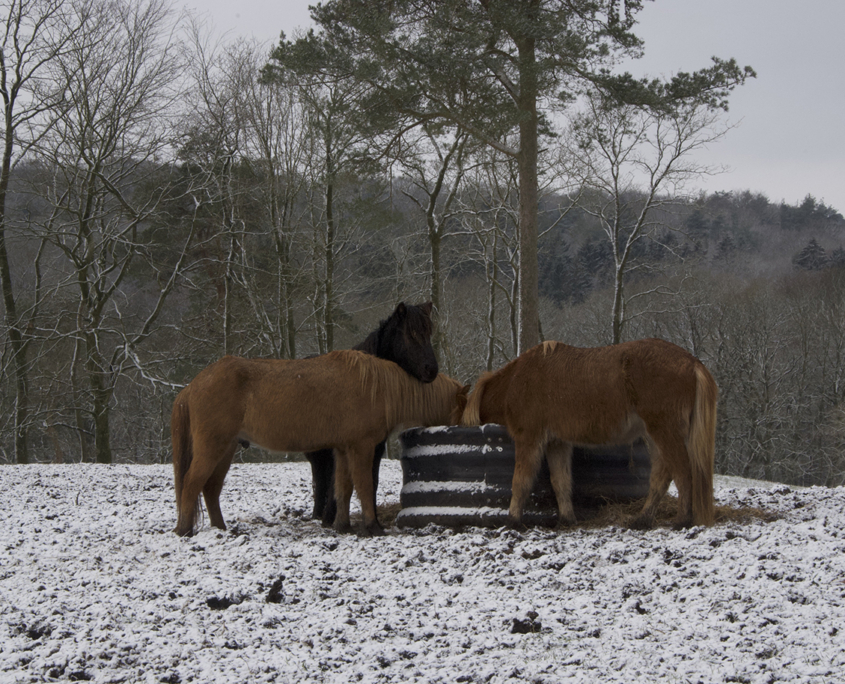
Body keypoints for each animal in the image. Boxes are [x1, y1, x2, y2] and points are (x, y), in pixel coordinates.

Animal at [172, 350, 468, 536]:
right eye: (462, 411)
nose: (462, 431)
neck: (377, 388)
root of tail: (192, 386)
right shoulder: (361, 447)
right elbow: (363, 485)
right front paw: (372, 526)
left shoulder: (344, 449)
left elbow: (344, 488)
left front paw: (343, 525)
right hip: (213, 447)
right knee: (192, 483)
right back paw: (185, 530)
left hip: (226, 449)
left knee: (210, 489)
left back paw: (220, 528)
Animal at [304, 302, 438, 528]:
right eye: (411, 333)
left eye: (429, 332)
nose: (432, 370)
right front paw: (333, 519)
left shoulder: (376, 444)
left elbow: (371, 481)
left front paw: (373, 521)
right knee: (320, 480)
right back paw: (320, 515)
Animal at [462, 340, 720, 528]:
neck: (517, 381)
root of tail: (692, 362)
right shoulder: (557, 443)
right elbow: (561, 481)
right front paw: (567, 519)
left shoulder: (529, 439)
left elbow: (520, 482)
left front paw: (513, 520)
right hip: (654, 435)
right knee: (661, 476)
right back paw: (642, 520)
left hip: (664, 432)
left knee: (683, 472)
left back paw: (682, 520)